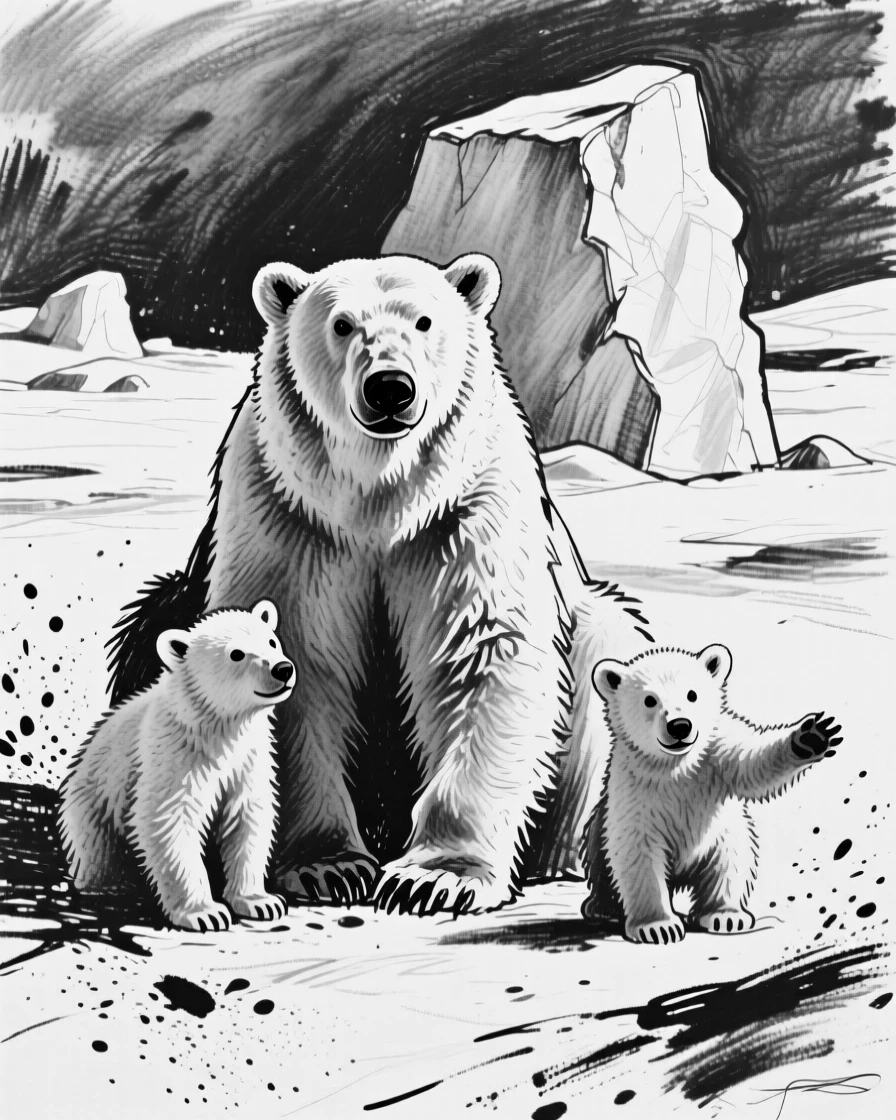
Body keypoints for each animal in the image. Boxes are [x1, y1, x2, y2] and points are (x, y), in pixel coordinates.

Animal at [59, 600, 294, 932]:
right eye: (236, 653)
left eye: (271, 641)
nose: (282, 669)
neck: (216, 727)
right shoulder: (175, 755)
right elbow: (169, 819)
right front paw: (204, 913)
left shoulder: (248, 758)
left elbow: (248, 817)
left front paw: (260, 901)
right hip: (96, 801)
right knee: (100, 850)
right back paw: (107, 885)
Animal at [106, 252, 654, 915]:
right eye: (341, 324)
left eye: (423, 321)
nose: (390, 387)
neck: (379, 501)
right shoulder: (290, 517)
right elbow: (300, 667)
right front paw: (328, 866)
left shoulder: (466, 511)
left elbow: (484, 653)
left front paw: (439, 877)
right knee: (152, 629)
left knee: (606, 641)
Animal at [581, 644, 842, 944]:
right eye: (649, 700)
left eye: (692, 694)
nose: (679, 726)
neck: (675, 765)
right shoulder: (633, 787)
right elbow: (637, 851)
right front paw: (657, 926)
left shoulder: (715, 753)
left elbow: (752, 763)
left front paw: (809, 738)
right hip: (600, 822)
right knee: (599, 855)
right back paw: (601, 906)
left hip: (722, 836)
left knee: (730, 864)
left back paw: (725, 914)